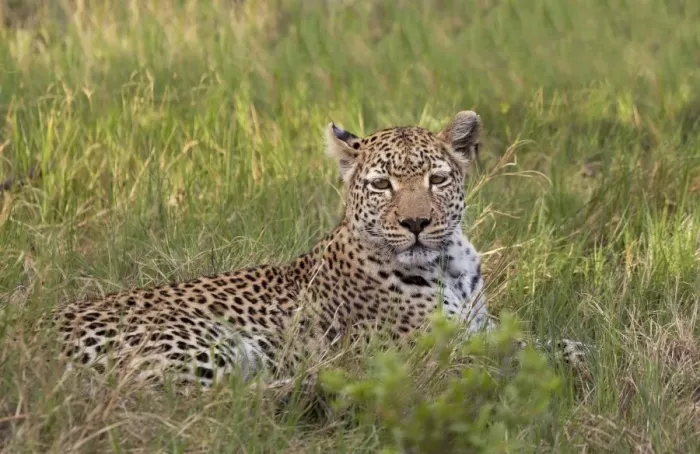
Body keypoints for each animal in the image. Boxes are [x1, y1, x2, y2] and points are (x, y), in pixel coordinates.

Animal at [52, 111, 588, 390]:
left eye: (436, 180)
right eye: (381, 185)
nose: (416, 223)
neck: (450, 264)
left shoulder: (482, 326)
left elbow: (552, 341)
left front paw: (577, 355)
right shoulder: (432, 356)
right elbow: (514, 359)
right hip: (201, 342)